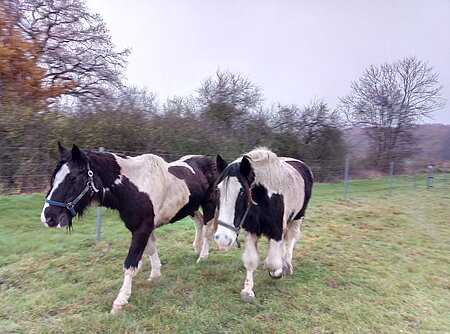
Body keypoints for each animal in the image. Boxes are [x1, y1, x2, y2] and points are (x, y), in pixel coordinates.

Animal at [39, 144, 219, 314]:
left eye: (72, 178)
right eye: (54, 177)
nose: (48, 218)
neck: (133, 187)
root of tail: (210, 161)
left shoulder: (141, 229)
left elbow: (130, 262)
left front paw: (120, 301)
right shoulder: (143, 228)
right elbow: (151, 249)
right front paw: (155, 274)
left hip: (209, 204)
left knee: (207, 229)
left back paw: (203, 256)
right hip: (190, 207)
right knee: (199, 223)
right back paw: (197, 248)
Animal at [214, 147, 312, 298]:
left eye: (242, 192)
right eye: (217, 190)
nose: (223, 239)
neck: (265, 196)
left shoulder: (276, 230)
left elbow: (271, 263)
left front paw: (278, 271)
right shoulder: (251, 230)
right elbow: (250, 260)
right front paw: (248, 290)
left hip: (297, 217)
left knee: (290, 239)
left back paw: (287, 265)